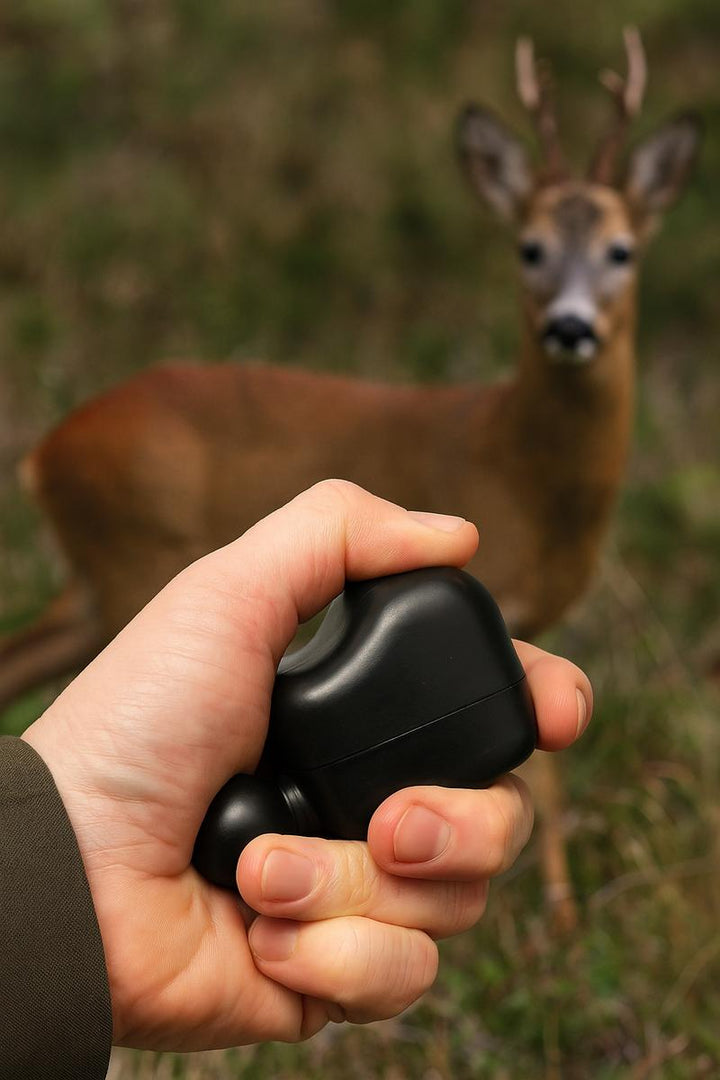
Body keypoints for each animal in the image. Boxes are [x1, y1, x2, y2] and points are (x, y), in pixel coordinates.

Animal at [0, 30, 700, 930]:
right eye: (530, 248)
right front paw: (561, 923)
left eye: (623, 250)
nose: (570, 328)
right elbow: (545, 773)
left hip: (93, 589)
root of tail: (42, 456)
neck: (521, 466)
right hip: (131, 564)